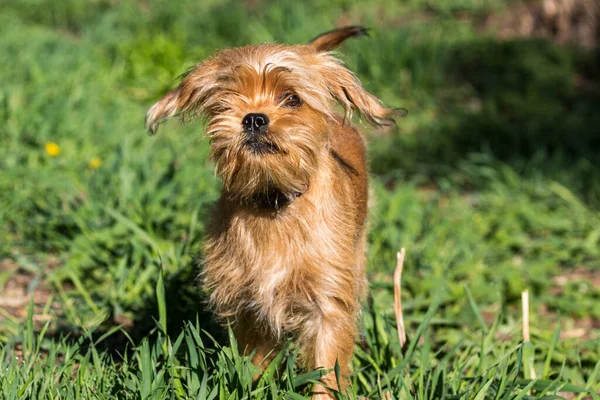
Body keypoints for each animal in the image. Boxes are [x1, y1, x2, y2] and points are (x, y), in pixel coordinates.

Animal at [146, 27, 404, 396]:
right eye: (227, 98)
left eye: (292, 99)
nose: (253, 118)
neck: (274, 202)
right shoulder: (248, 307)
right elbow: (253, 368)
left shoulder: (328, 304)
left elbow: (327, 371)